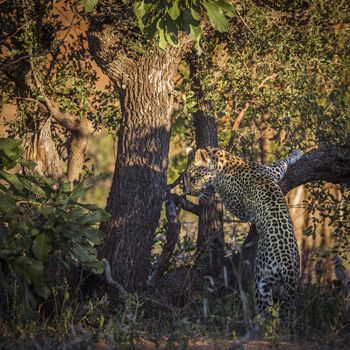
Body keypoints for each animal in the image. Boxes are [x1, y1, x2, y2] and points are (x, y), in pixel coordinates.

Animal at [185, 148, 302, 328]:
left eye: (193, 177)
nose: (188, 192)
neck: (222, 160)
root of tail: (287, 267)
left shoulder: (239, 208)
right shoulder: (270, 172)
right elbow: (279, 164)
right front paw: (297, 153)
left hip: (261, 282)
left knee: (266, 314)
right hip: (289, 293)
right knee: (287, 316)